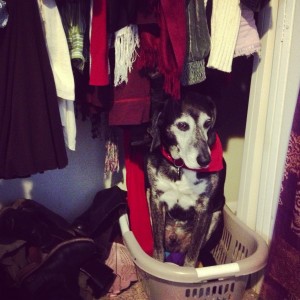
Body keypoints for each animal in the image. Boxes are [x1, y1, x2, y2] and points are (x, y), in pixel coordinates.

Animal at [146, 91, 226, 268]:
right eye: (182, 126)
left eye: (208, 123)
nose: (205, 160)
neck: (180, 167)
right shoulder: (156, 198)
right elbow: (158, 247)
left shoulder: (204, 208)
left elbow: (192, 254)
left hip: (217, 214)